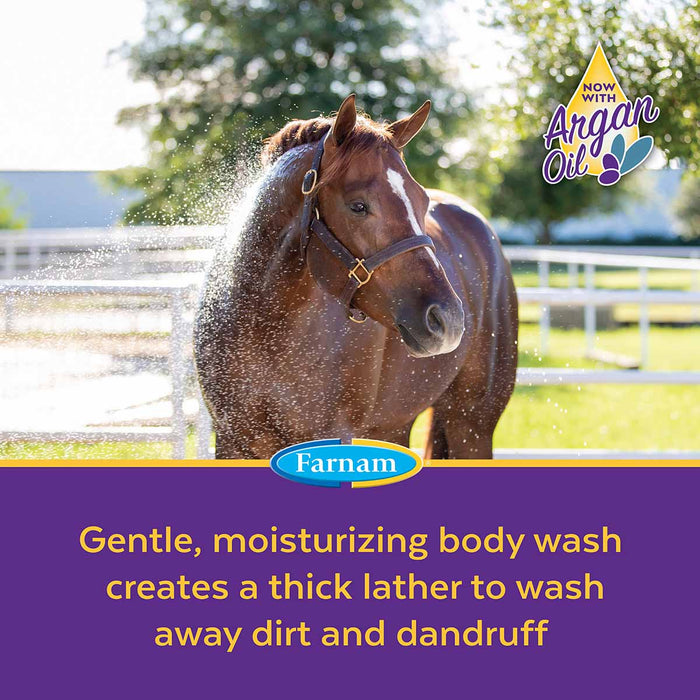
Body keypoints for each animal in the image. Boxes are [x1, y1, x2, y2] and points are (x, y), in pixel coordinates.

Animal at [194, 95, 518, 459]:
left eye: (422, 202)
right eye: (358, 206)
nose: (448, 319)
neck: (263, 326)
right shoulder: (231, 441)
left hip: (472, 424)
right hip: (394, 426)